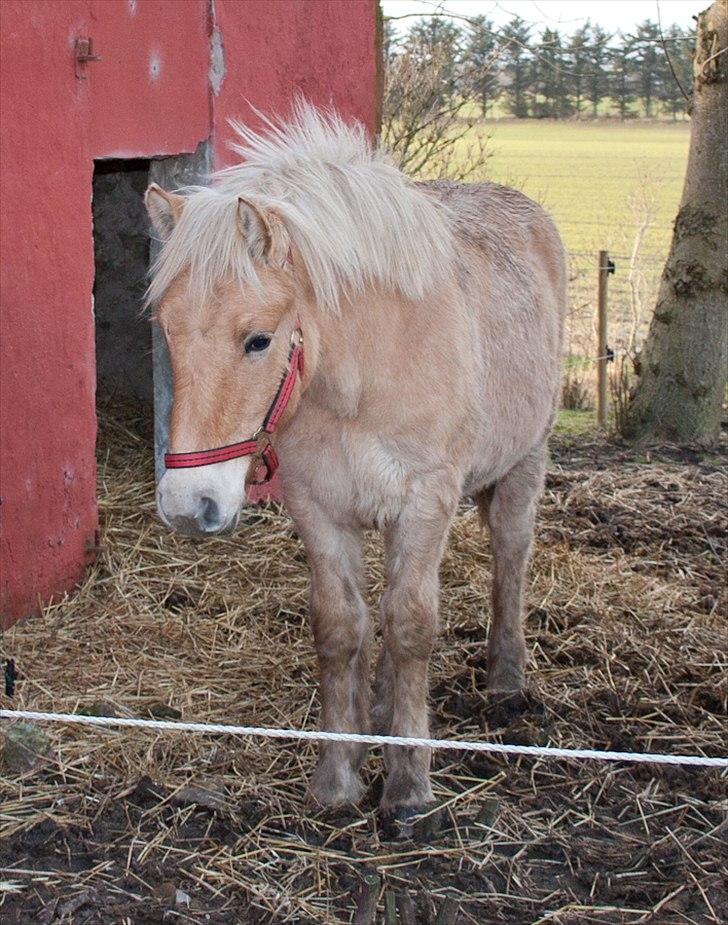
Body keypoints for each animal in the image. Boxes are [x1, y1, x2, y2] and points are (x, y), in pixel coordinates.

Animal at [146, 104, 568, 820]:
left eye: (258, 339)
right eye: (166, 332)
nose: (186, 504)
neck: (361, 374)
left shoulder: (425, 501)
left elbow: (411, 625)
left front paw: (408, 785)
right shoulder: (319, 508)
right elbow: (342, 627)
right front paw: (338, 776)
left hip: (524, 459)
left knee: (510, 553)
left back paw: (506, 680)